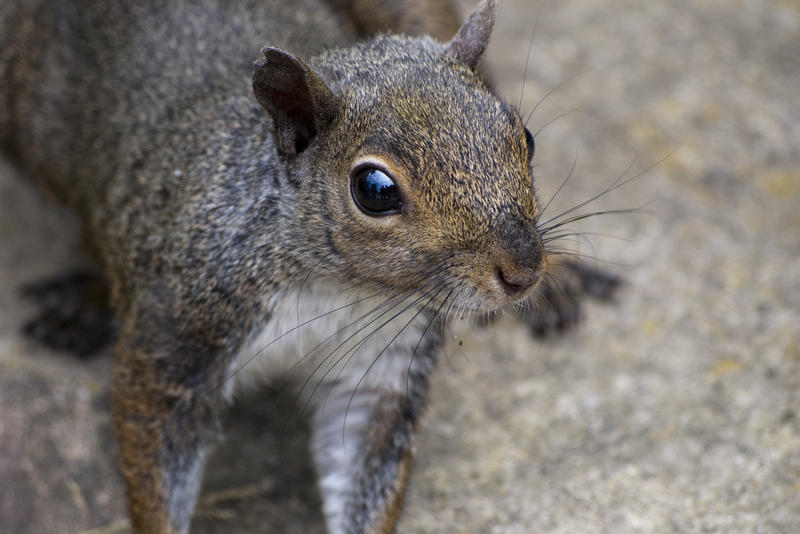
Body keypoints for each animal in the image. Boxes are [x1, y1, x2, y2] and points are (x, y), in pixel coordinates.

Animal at [0, 0, 620, 532]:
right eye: (374, 190)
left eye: (525, 137)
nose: (523, 271)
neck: (335, 285)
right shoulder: (176, 332)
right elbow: (153, 450)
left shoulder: (384, 361)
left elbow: (366, 459)